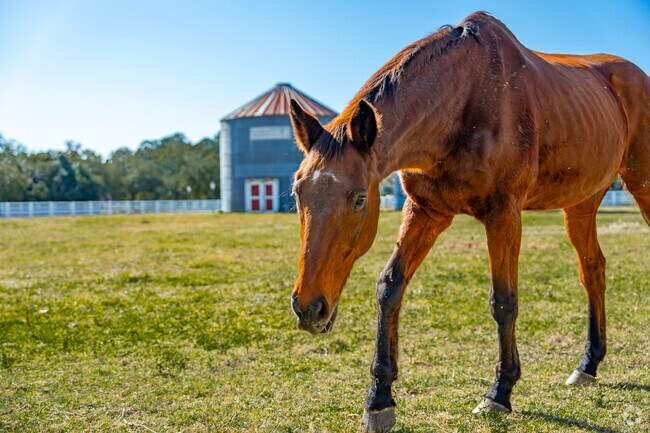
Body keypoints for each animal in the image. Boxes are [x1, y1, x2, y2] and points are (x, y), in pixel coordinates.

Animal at [288, 11, 650, 433]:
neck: (464, 101)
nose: (309, 308)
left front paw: (500, 392)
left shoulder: (503, 214)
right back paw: (588, 365)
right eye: (297, 193)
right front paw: (379, 399)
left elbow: (504, 301)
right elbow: (390, 287)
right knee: (593, 269)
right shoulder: (426, 211)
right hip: (582, 203)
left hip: (641, 184)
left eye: (360, 198)